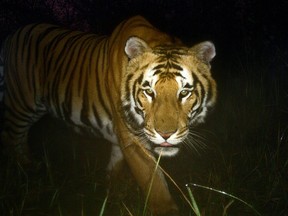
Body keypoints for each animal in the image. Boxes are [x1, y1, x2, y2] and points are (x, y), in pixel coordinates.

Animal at [0, 15, 216, 214]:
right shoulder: (133, 139)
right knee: (12, 138)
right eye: (149, 91)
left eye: (184, 92)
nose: (166, 135)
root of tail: (13, 34)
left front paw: (111, 190)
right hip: (22, 103)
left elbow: (116, 165)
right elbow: (154, 183)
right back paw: (26, 173)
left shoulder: (120, 139)